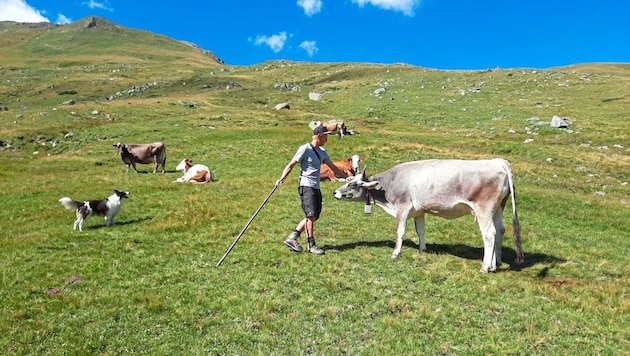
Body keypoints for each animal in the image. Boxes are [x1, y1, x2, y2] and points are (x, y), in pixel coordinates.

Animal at [334, 159, 524, 272]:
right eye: (348, 181)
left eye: (353, 185)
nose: (335, 192)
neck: (390, 184)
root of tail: (497, 162)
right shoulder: (419, 211)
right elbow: (421, 231)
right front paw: (422, 249)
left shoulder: (402, 208)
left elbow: (400, 232)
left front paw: (395, 253)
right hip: (498, 208)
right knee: (500, 231)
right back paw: (496, 263)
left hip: (484, 209)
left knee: (489, 234)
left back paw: (486, 267)